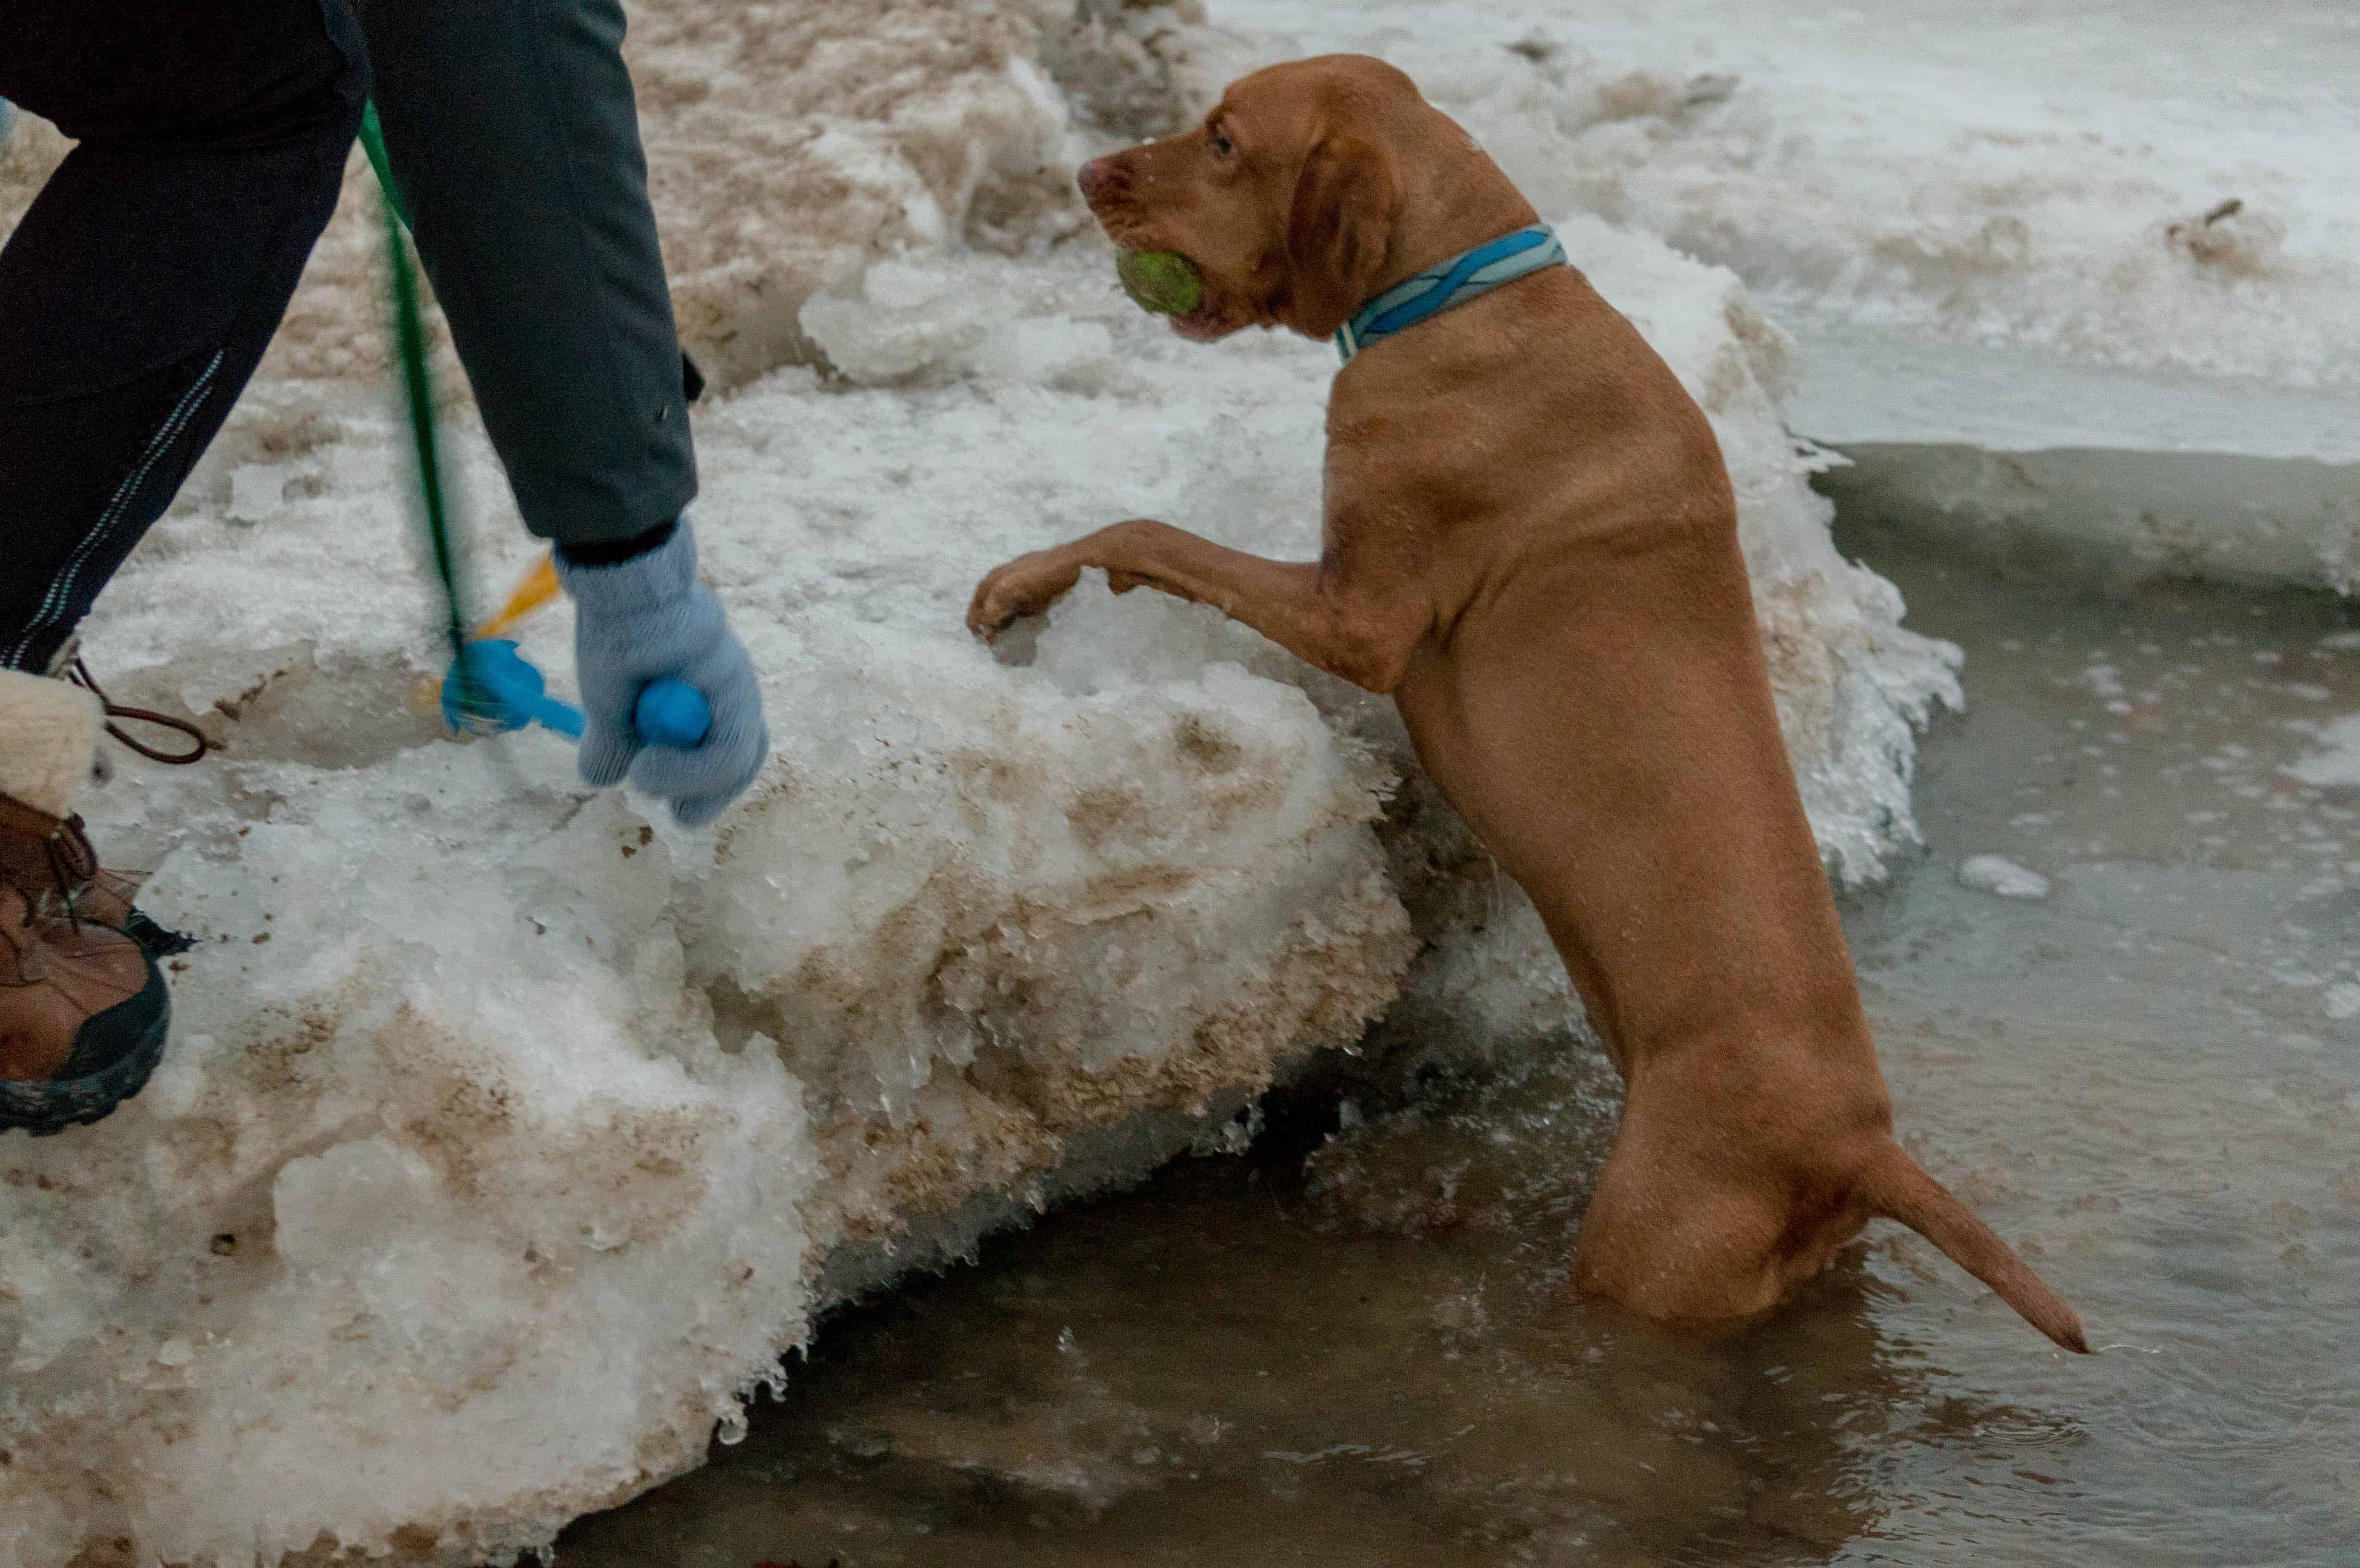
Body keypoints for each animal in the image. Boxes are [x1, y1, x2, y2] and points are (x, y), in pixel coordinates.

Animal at [967, 49, 2095, 1350]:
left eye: (1222, 141)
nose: (1087, 174)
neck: (1459, 291)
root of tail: (1856, 1148)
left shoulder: (1358, 617)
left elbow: (1150, 530)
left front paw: (1020, 581)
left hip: (1641, 1254)